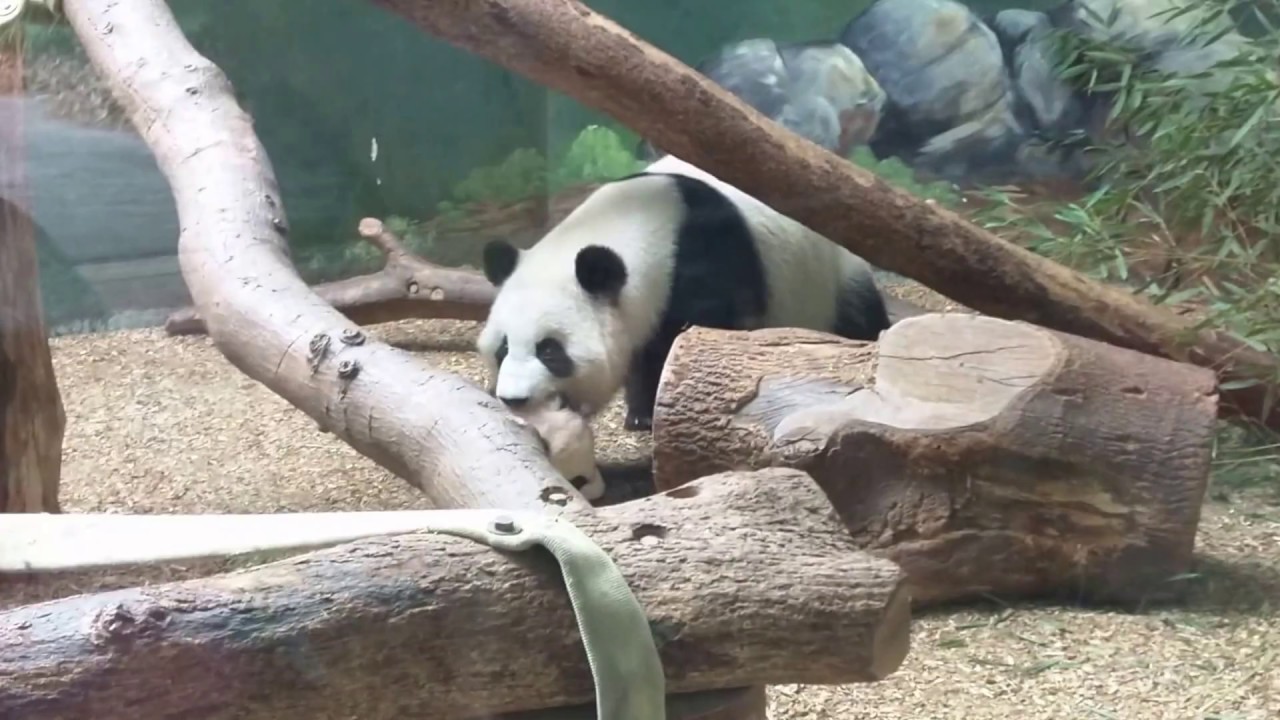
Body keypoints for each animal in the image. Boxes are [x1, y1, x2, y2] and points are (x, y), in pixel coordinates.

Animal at [476, 153, 891, 432]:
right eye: (502, 348)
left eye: (550, 351)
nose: (514, 399)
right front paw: (641, 414)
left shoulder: (709, 264)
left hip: (833, 280)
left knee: (857, 315)